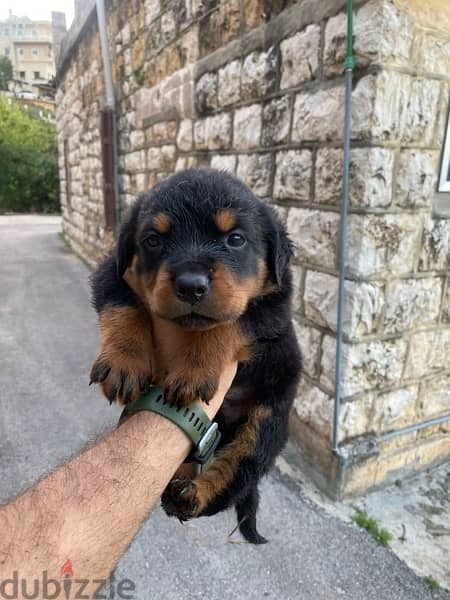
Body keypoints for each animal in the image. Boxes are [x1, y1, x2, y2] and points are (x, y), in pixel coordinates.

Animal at [89, 169, 300, 544]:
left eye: (235, 239)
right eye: (153, 241)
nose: (191, 285)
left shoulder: (272, 308)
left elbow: (223, 325)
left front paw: (194, 372)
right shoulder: (111, 272)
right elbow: (123, 306)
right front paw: (123, 363)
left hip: (269, 417)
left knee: (240, 471)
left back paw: (194, 495)